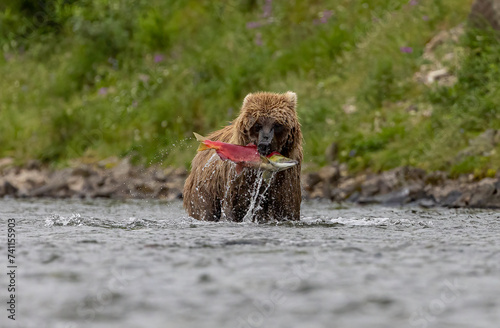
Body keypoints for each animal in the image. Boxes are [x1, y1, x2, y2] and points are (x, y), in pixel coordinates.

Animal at [183, 91, 302, 222]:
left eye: (277, 124)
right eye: (257, 125)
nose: (264, 145)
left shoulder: (285, 180)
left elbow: (287, 207)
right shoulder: (240, 180)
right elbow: (234, 206)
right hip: (205, 187)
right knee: (204, 209)